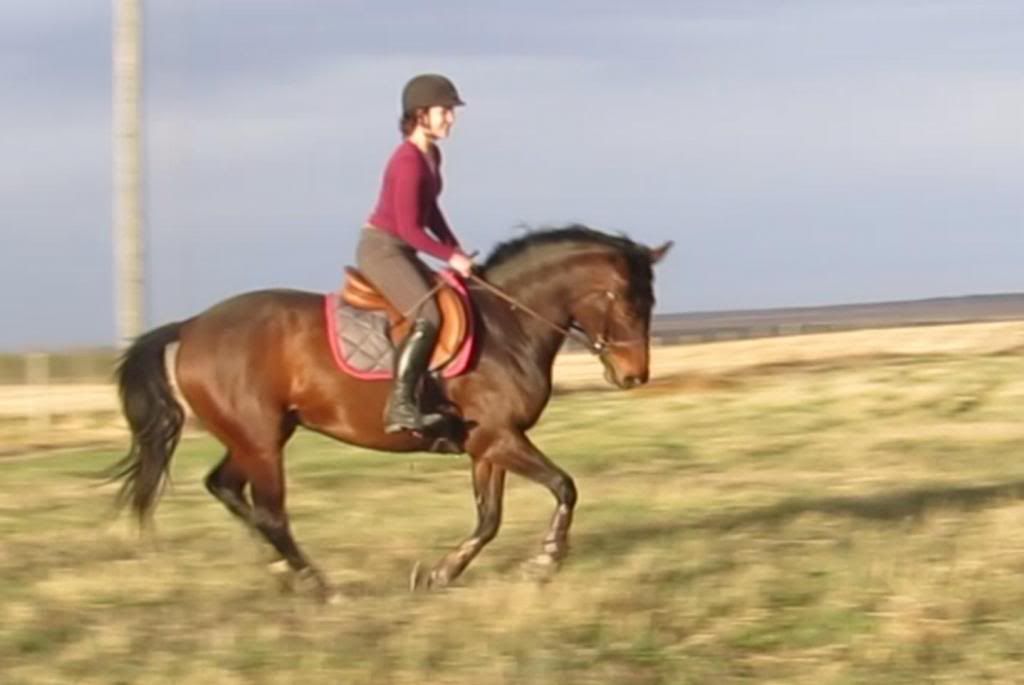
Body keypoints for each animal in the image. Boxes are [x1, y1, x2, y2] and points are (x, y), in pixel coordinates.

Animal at [109, 225, 672, 601]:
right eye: (627, 302)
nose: (634, 376)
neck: (507, 325)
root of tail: (191, 326)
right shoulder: (499, 438)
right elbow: (564, 487)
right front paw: (545, 561)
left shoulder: (487, 446)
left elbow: (489, 518)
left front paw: (442, 574)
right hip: (262, 441)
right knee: (269, 511)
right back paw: (317, 583)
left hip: (255, 437)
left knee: (224, 487)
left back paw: (282, 570)